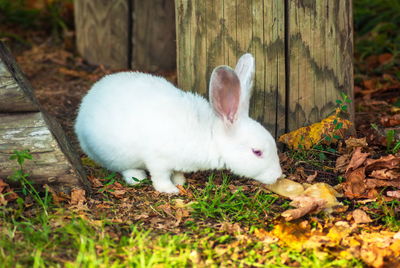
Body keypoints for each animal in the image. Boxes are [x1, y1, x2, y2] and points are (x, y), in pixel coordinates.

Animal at [74, 53, 282, 194]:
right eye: (257, 152)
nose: (278, 175)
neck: (210, 136)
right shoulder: (158, 159)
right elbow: (160, 176)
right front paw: (170, 190)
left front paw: (180, 181)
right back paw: (137, 178)